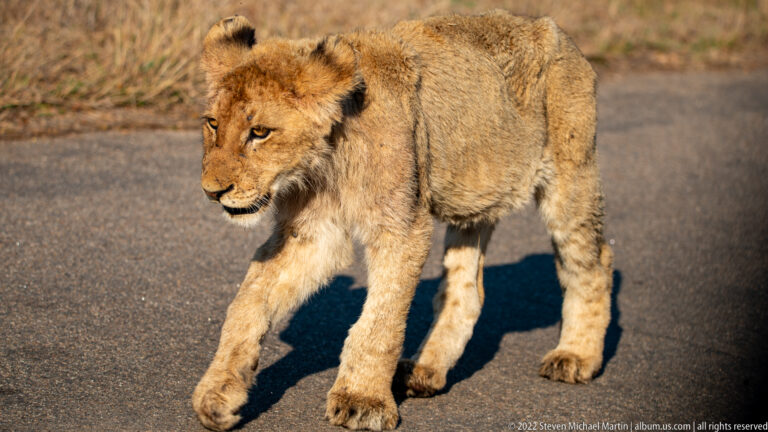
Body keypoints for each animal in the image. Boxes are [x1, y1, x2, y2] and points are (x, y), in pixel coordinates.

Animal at [192, 10, 614, 431]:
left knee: (594, 261)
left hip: (569, 174)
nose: (212, 191)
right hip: (475, 194)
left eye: (260, 132)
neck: (327, 160)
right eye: (212, 124)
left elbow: (381, 320)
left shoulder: (402, 227)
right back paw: (425, 370)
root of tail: (555, 30)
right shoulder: (311, 234)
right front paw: (217, 393)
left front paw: (362, 400)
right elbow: (248, 303)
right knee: (465, 288)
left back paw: (576, 356)